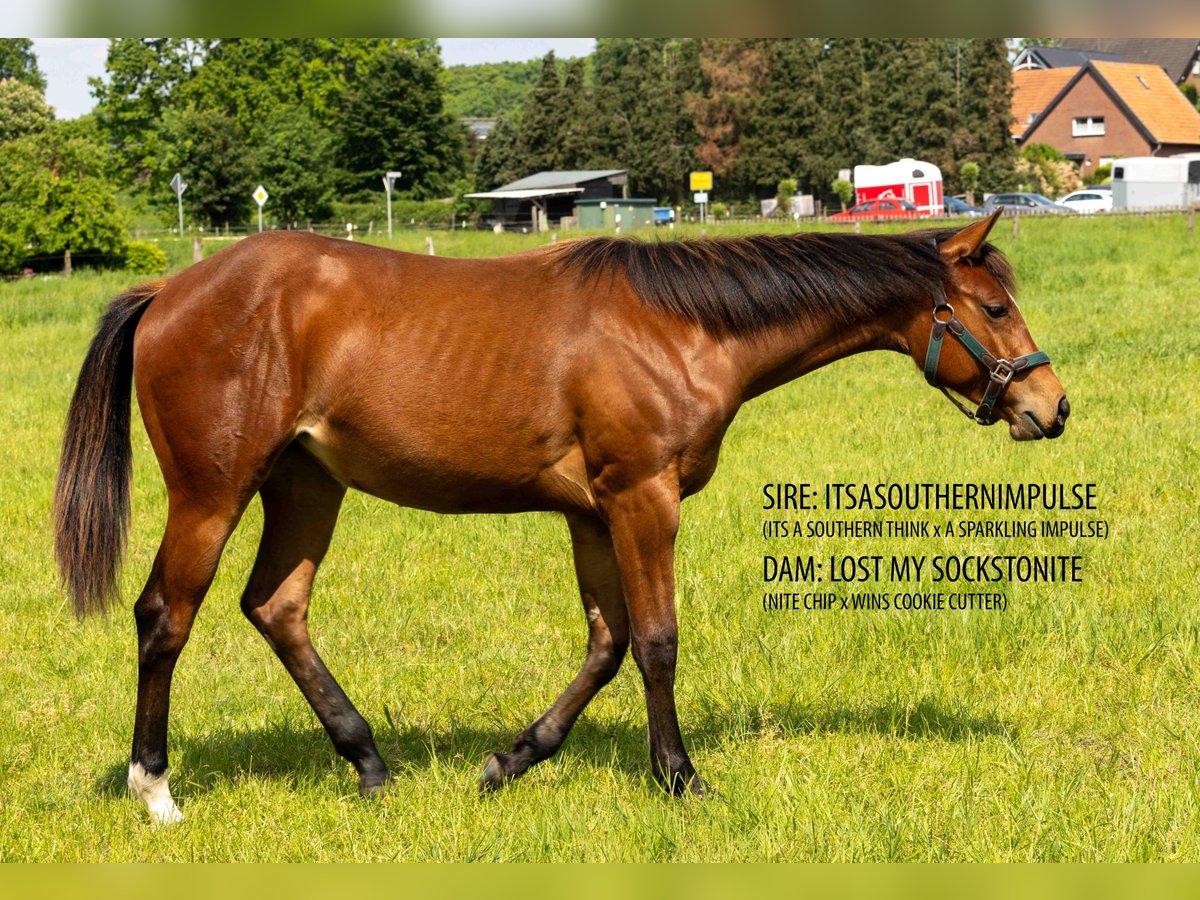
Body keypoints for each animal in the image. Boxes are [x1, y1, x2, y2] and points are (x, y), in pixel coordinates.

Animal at [54, 210, 1068, 824]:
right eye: (993, 305)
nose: (1051, 407)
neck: (681, 327)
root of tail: (169, 291)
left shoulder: (591, 515)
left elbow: (607, 644)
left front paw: (512, 760)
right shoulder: (641, 498)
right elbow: (656, 641)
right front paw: (679, 776)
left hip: (307, 485)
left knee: (277, 607)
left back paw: (369, 762)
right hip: (212, 493)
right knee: (165, 617)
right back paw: (155, 788)